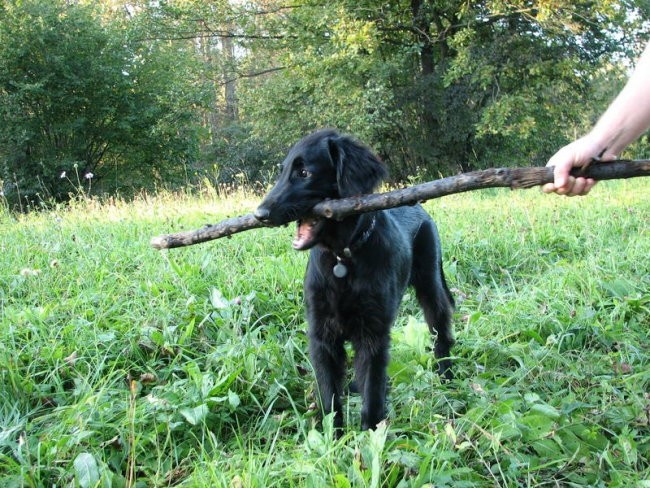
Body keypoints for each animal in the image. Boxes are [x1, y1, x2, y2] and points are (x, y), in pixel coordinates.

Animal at [251, 129, 454, 430]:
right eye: (283, 171)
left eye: (304, 172)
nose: (260, 215)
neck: (342, 258)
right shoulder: (321, 334)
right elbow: (329, 396)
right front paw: (333, 436)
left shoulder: (373, 333)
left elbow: (373, 392)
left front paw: (370, 435)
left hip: (430, 286)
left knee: (441, 332)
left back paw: (447, 377)